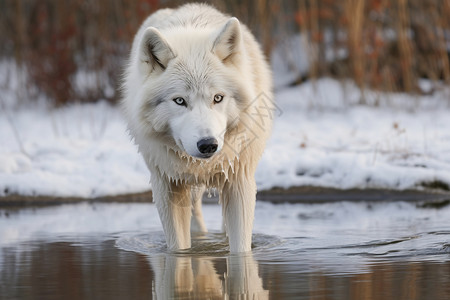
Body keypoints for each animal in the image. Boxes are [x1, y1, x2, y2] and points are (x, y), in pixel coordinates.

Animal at [121, 3, 272, 252]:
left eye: (218, 98)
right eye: (180, 101)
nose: (208, 145)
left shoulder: (239, 181)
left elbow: (240, 249)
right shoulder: (168, 187)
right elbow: (178, 250)